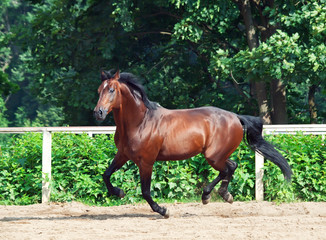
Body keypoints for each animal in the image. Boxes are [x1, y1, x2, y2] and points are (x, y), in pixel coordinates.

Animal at [93, 69, 292, 218]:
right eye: (99, 90)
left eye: (111, 90)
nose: (98, 113)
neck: (140, 122)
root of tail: (236, 117)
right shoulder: (123, 155)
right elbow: (106, 175)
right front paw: (119, 192)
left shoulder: (146, 162)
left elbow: (146, 191)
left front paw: (163, 210)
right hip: (218, 155)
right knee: (232, 166)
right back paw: (224, 195)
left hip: (213, 156)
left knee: (227, 168)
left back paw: (208, 195)